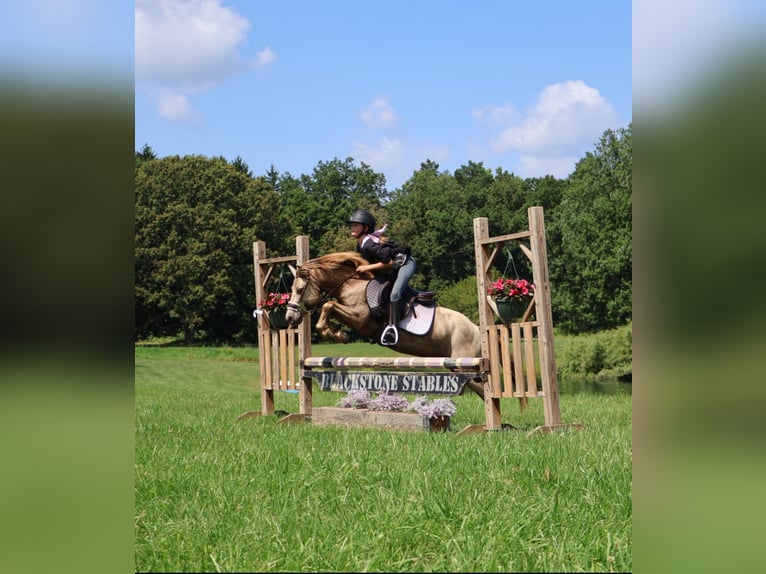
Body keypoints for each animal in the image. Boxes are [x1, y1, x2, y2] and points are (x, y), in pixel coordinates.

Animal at [285, 252, 482, 359]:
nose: (290, 317)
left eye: (300, 289)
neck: (352, 284)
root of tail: (476, 329)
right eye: (291, 289)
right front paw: (338, 334)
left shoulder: (360, 318)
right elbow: (330, 309)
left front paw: (334, 333)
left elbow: (328, 305)